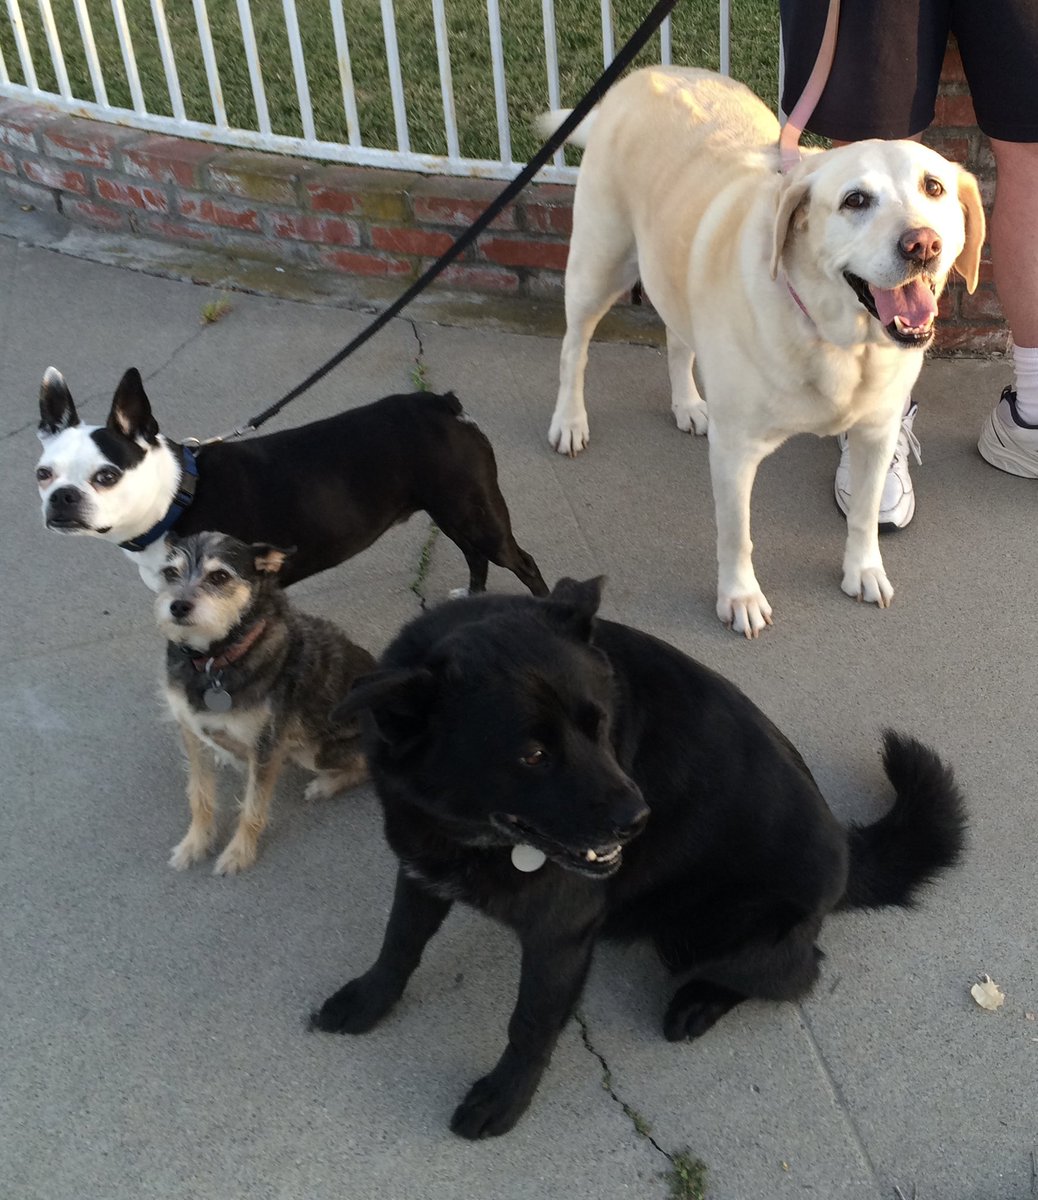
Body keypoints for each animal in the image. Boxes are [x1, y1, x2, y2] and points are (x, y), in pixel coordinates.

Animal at [309, 576, 964, 1137]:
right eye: (531, 755)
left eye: (599, 724)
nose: (638, 821)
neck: (467, 825)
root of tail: (849, 857)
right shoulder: (421, 870)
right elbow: (398, 944)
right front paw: (367, 1002)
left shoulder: (560, 935)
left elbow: (530, 1024)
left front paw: (503, 1098)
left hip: (704, 935)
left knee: (797, 970)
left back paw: (699, 1002)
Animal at [537, 68, 984, 638]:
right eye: (855, 200)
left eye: (934, 187)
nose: (922, 244)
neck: (840, 341)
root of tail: (645, 74)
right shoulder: (735, 452)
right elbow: (736, 534)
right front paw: (740, 597)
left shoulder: (877, 433)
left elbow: (863, 514)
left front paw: (863, 570)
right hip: (598, 267)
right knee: (574, 349)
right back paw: (569, 422)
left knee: (678, 339)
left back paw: (688, 404)